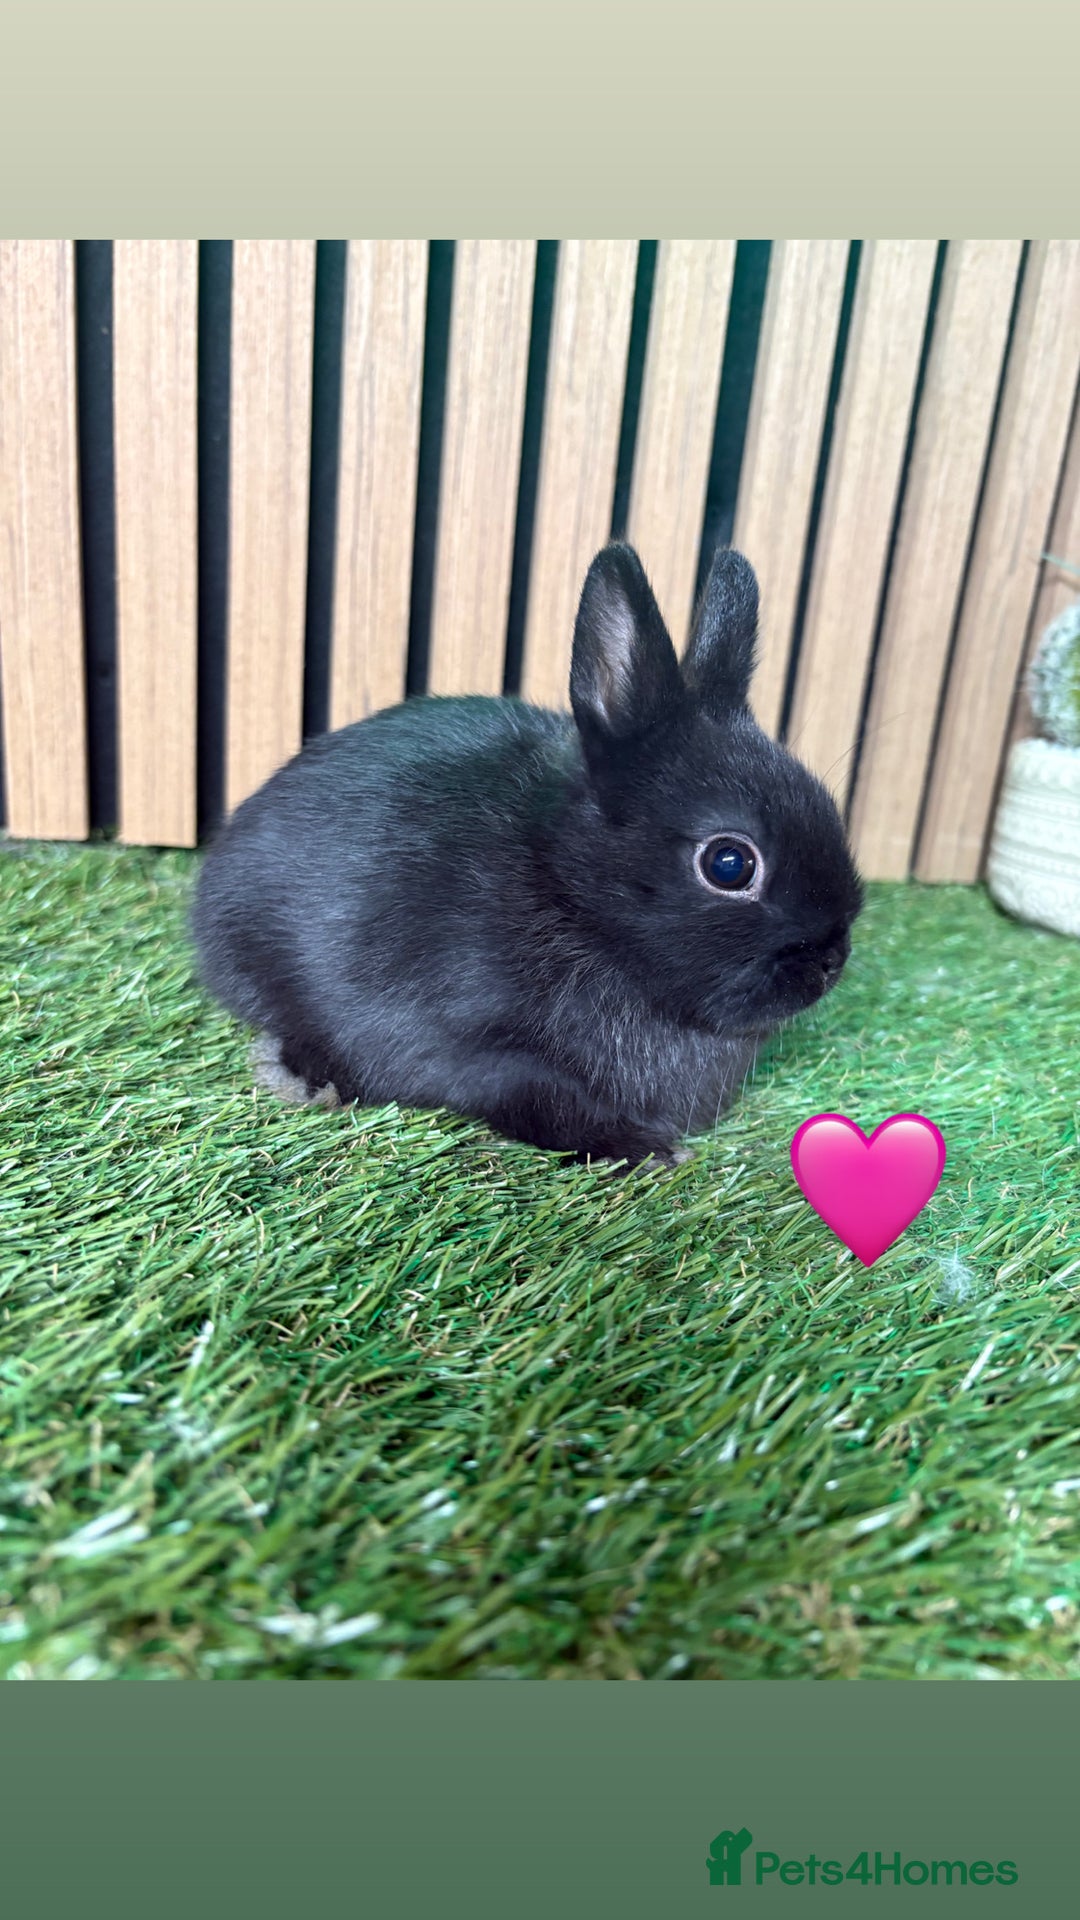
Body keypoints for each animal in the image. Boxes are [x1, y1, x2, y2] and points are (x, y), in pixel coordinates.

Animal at [192, 542, 864, 1167]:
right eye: (729, 863)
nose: (831, 962)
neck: (570, 898)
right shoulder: (466, 1047)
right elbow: (535, 1096)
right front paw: (642, 1149)